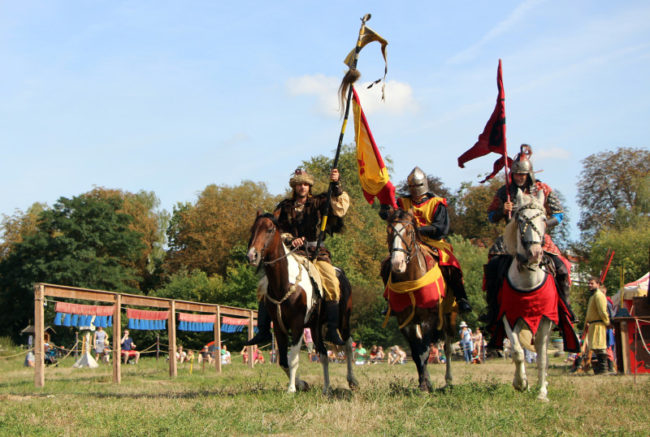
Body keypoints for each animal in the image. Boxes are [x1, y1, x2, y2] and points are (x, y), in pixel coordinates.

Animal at [246, 213, 356, 394]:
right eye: (252, 229)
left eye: (269, 230)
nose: (251, 256)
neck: (284, 283)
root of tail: (342, 275)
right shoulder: (279, 326)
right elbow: (283, 361)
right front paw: (301, 384)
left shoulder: (297, 325)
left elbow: (293, 358)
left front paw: (291, 388)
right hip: (315, 327)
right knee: (324, 354)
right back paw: (327, 387)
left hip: (343, 320)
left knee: (347, 345)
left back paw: (352, 380)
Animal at [380, 208, 456, 392]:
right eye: (389, 231)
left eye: (409, 232)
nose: (397, 264)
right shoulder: (405, 321)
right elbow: (416, 352)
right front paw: (424, 382)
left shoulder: (429, 319)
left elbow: (425, 351)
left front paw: (426, 386)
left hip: (448, 316)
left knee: (448, 347)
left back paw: (449, 379)